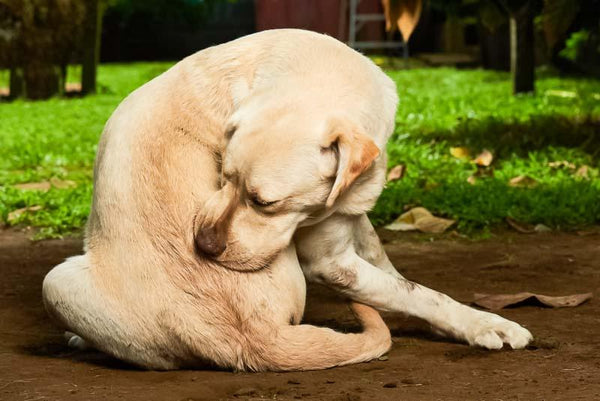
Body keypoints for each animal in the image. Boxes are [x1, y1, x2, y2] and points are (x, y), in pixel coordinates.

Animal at [41, 29, 528, 370]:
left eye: (266, 203)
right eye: (223, 177)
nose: (203, 246)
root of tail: (252, 341)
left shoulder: (350, 219)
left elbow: (395, 274)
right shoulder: (331, 263)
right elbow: (420, 292)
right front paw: (486, 323)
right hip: (55, 281)